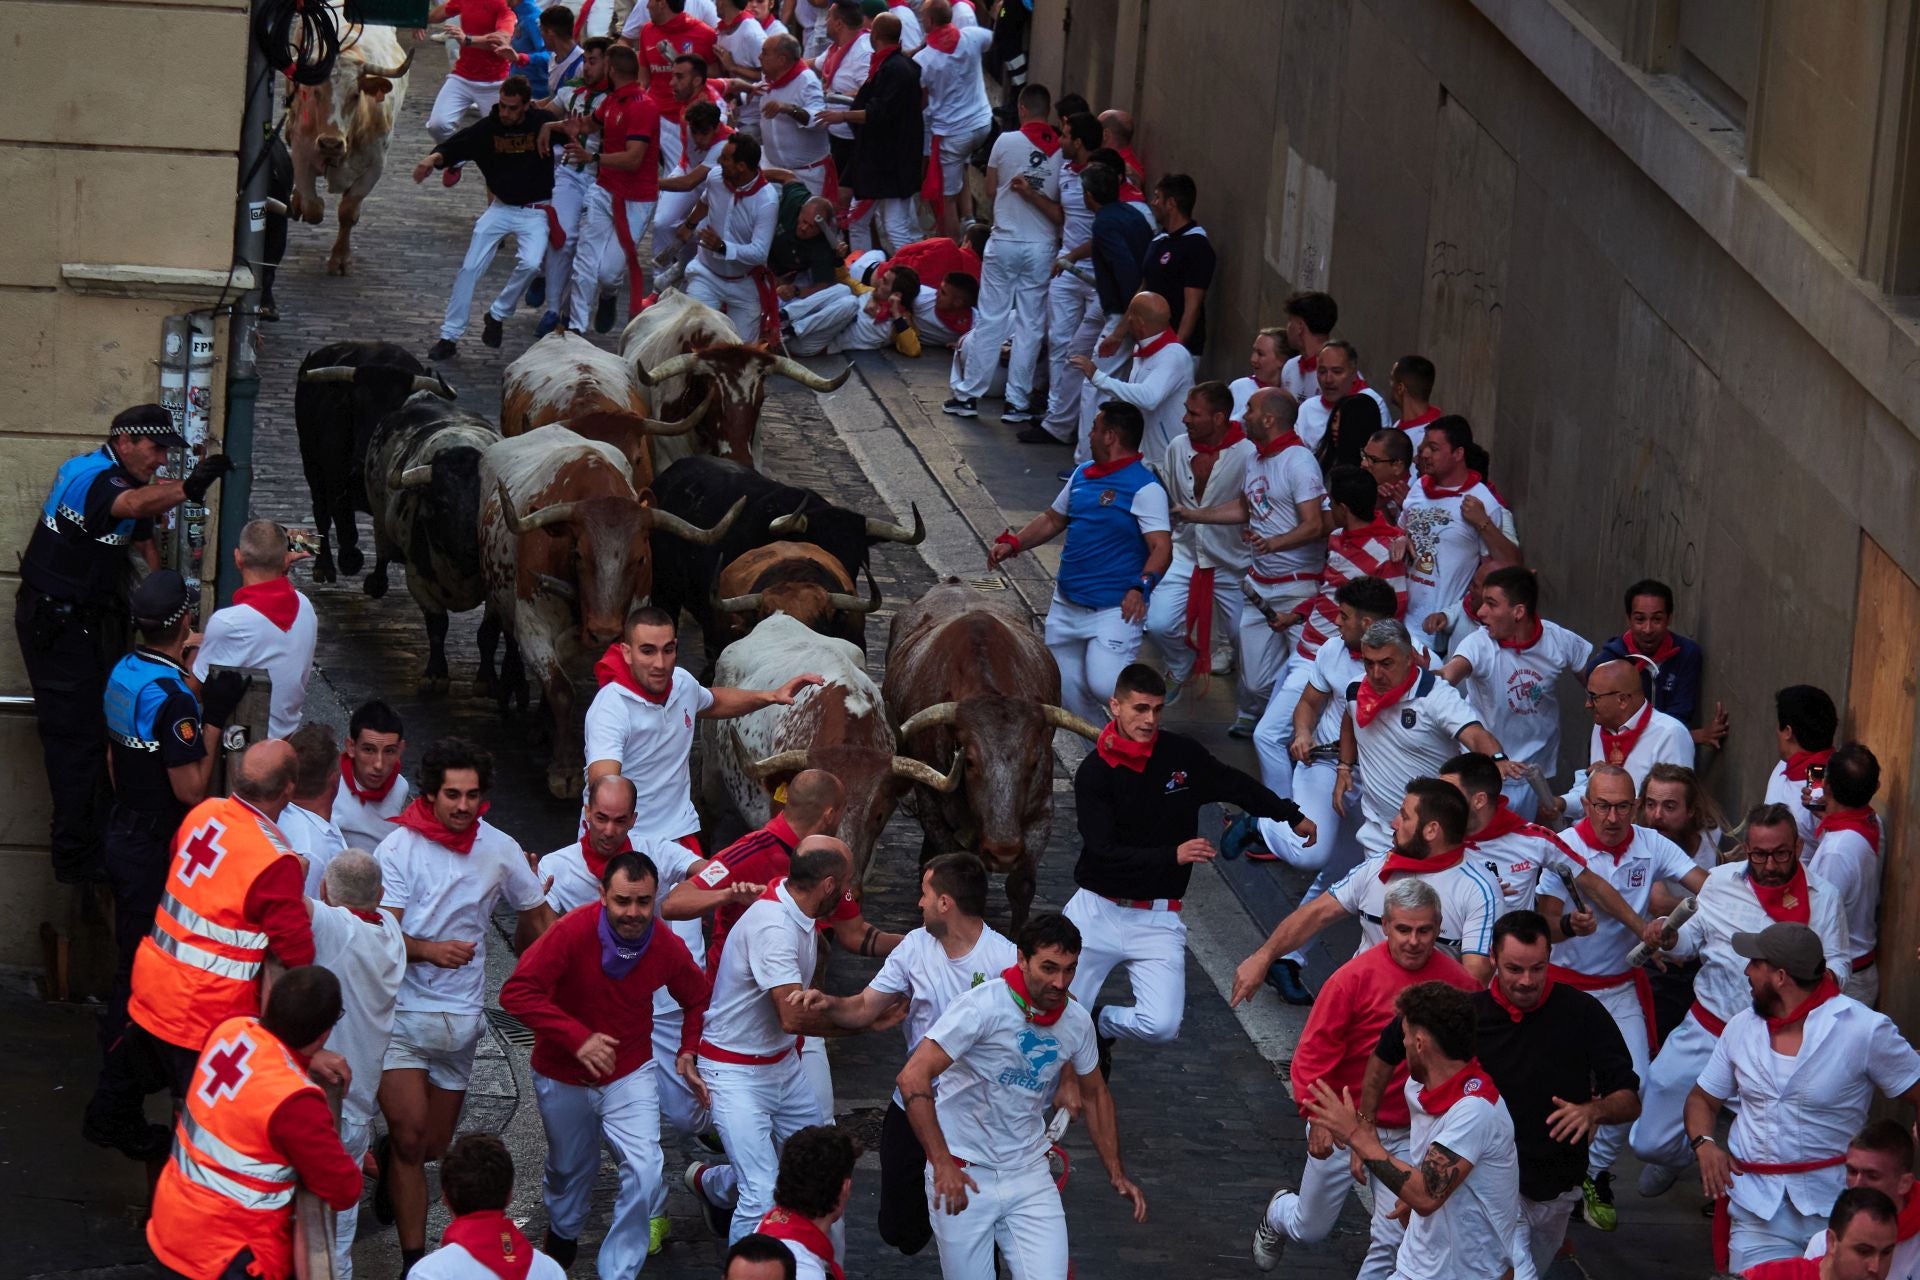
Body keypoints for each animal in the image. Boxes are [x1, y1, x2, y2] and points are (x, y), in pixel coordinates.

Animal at [879, 575, 1098, 924]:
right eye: (969, 761)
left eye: (1033, 761)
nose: (1003, 851)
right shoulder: (932, 807)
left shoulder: (1041, 814)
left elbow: (1021, 886)